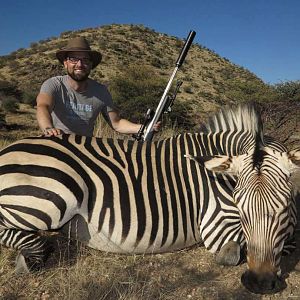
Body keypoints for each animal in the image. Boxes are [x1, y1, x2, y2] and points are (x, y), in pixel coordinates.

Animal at [0, 102, 298, 292]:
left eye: (284, 208)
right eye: (240, 209)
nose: (259, 284)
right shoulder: (216, 225)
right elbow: (241, 252)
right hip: (53, 195)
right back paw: (32, 256)